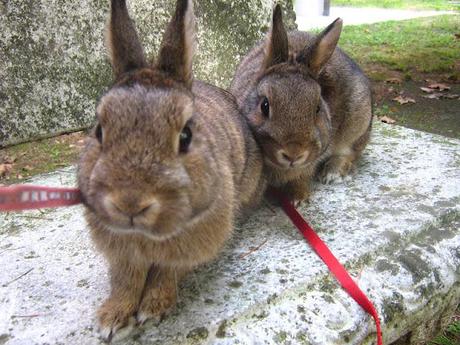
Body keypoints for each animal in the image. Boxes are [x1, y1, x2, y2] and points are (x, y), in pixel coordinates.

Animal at [77, 0, 264, 338]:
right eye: (99, 130)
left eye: (186, 136)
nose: (129, 203)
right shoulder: (122, 254)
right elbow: (125, 279)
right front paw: (113, 318)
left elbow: (168, 272)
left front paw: (152, 309)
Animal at [232, 4, 372, 202]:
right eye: (264, 106)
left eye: (318, 108)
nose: (294, 153)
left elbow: (302, 176)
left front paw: (297, 197)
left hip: (358, 123)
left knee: (350, 153)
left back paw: (332, 173)